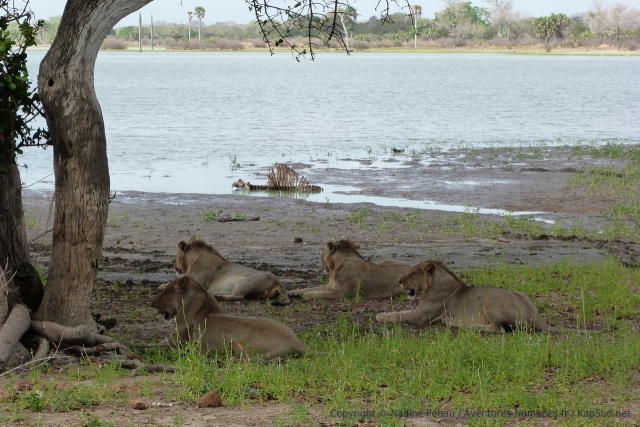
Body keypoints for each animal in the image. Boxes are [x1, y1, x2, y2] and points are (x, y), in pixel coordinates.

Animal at [151, 276, 306, 358]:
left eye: (164, 293)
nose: (151, 303)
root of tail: (296, 342)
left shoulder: (177, 339)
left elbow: (155, 345)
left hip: (239, 346)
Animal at [376, 260, 583, 333]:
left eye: (412, 273)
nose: (399, 281)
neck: (435, 283)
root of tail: (535, 315)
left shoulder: (420, 316)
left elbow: (398, 315)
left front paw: (380, 316)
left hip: (490, 296)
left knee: (498, 329)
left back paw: (468, 326)